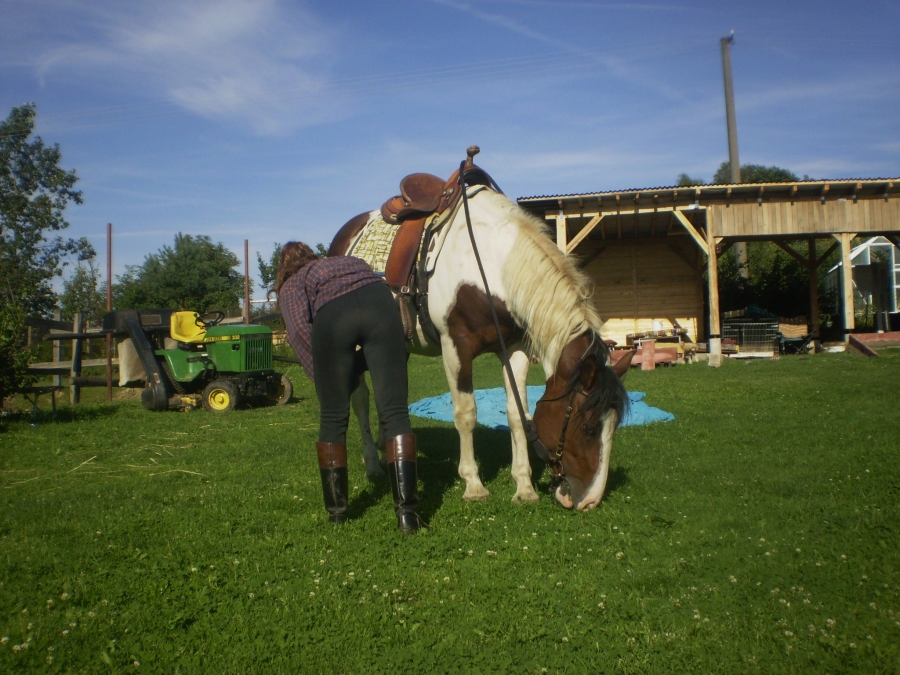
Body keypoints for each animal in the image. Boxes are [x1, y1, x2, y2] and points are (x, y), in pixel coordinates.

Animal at [332, 182, 630, 510]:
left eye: (615, 426)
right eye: (589, 428)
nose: (591, 501)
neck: (490, 265)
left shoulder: (515, 347)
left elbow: (517, 414)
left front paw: (524, 486)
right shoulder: (455, 348)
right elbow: (466, 413)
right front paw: (473, 484)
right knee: (360, 398)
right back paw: (372, 464)